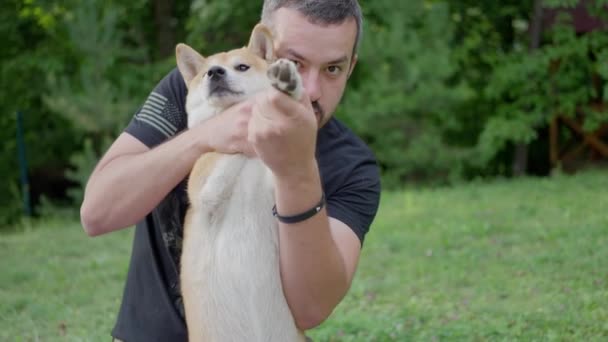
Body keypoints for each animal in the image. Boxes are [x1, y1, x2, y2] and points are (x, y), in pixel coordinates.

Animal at [177, 22, 308, 340]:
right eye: (205, 72)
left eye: (242, 66)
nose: (215, 73)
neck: (249, 163)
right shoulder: (207, 190)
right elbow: (227, 150)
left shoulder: (279, 184)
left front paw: (289, 85)